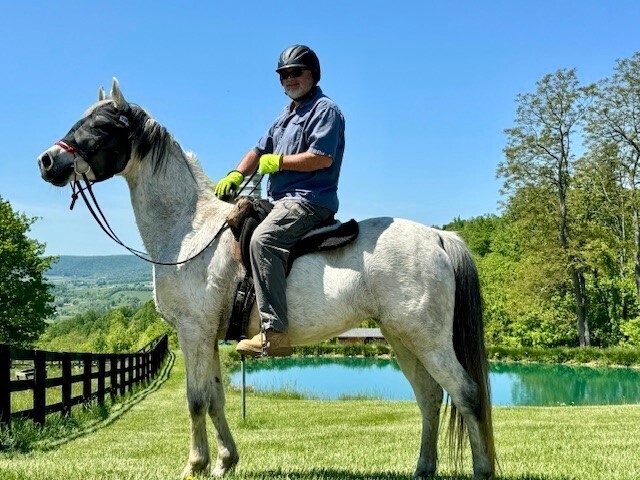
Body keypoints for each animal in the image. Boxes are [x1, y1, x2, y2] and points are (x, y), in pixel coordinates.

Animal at [37, 78, 496, 480]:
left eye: (100, 126)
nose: (46, 161)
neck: (191, 230)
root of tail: (438, 237)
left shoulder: (193, 330)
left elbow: (196, 400)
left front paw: (195, 465)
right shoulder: (210, 336)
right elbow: (217, 398)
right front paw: (225, 462)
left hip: (428, 339)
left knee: (466, 394)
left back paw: (481, 470)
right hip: (402, 337)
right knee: (430, 398)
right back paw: (423, 469)